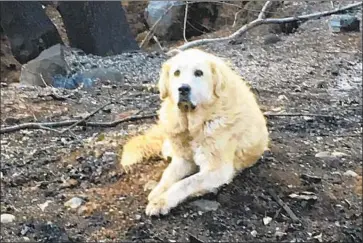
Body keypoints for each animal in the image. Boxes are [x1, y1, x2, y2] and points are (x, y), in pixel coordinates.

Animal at [119, 49, 270, 216]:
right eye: (176, 73)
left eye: (199, 73)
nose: (183, 88)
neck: (193, 125)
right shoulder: (183, 160)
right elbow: (168, 175)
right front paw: (158, 191)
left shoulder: (217, 170)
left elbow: (184, 183)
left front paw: (161, 201)